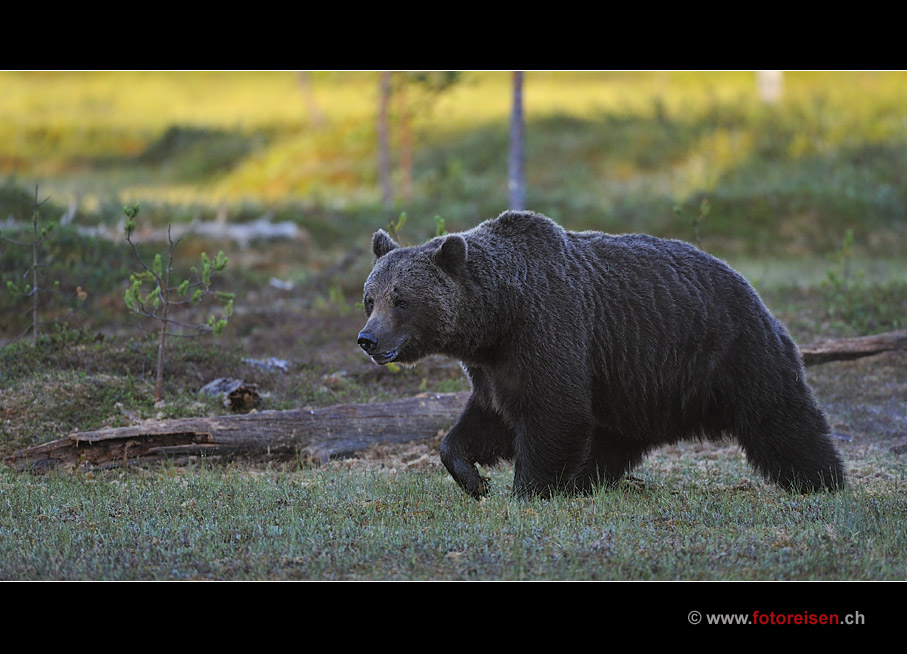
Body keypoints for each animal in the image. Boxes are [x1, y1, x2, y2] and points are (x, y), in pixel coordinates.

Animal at [354, 213, 844, 500]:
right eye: (370, 298)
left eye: (402, 300)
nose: (368, 339)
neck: (499, 315)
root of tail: (748, 285)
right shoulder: (495, 365)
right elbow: (487, 420)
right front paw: (474, 479)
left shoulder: (550, 331)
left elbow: (553, 413)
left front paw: (527, 491)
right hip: (636, 385)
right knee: (611, 440)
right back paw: (585, 483)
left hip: (731, 352)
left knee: (781, 420)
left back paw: (823, 481)